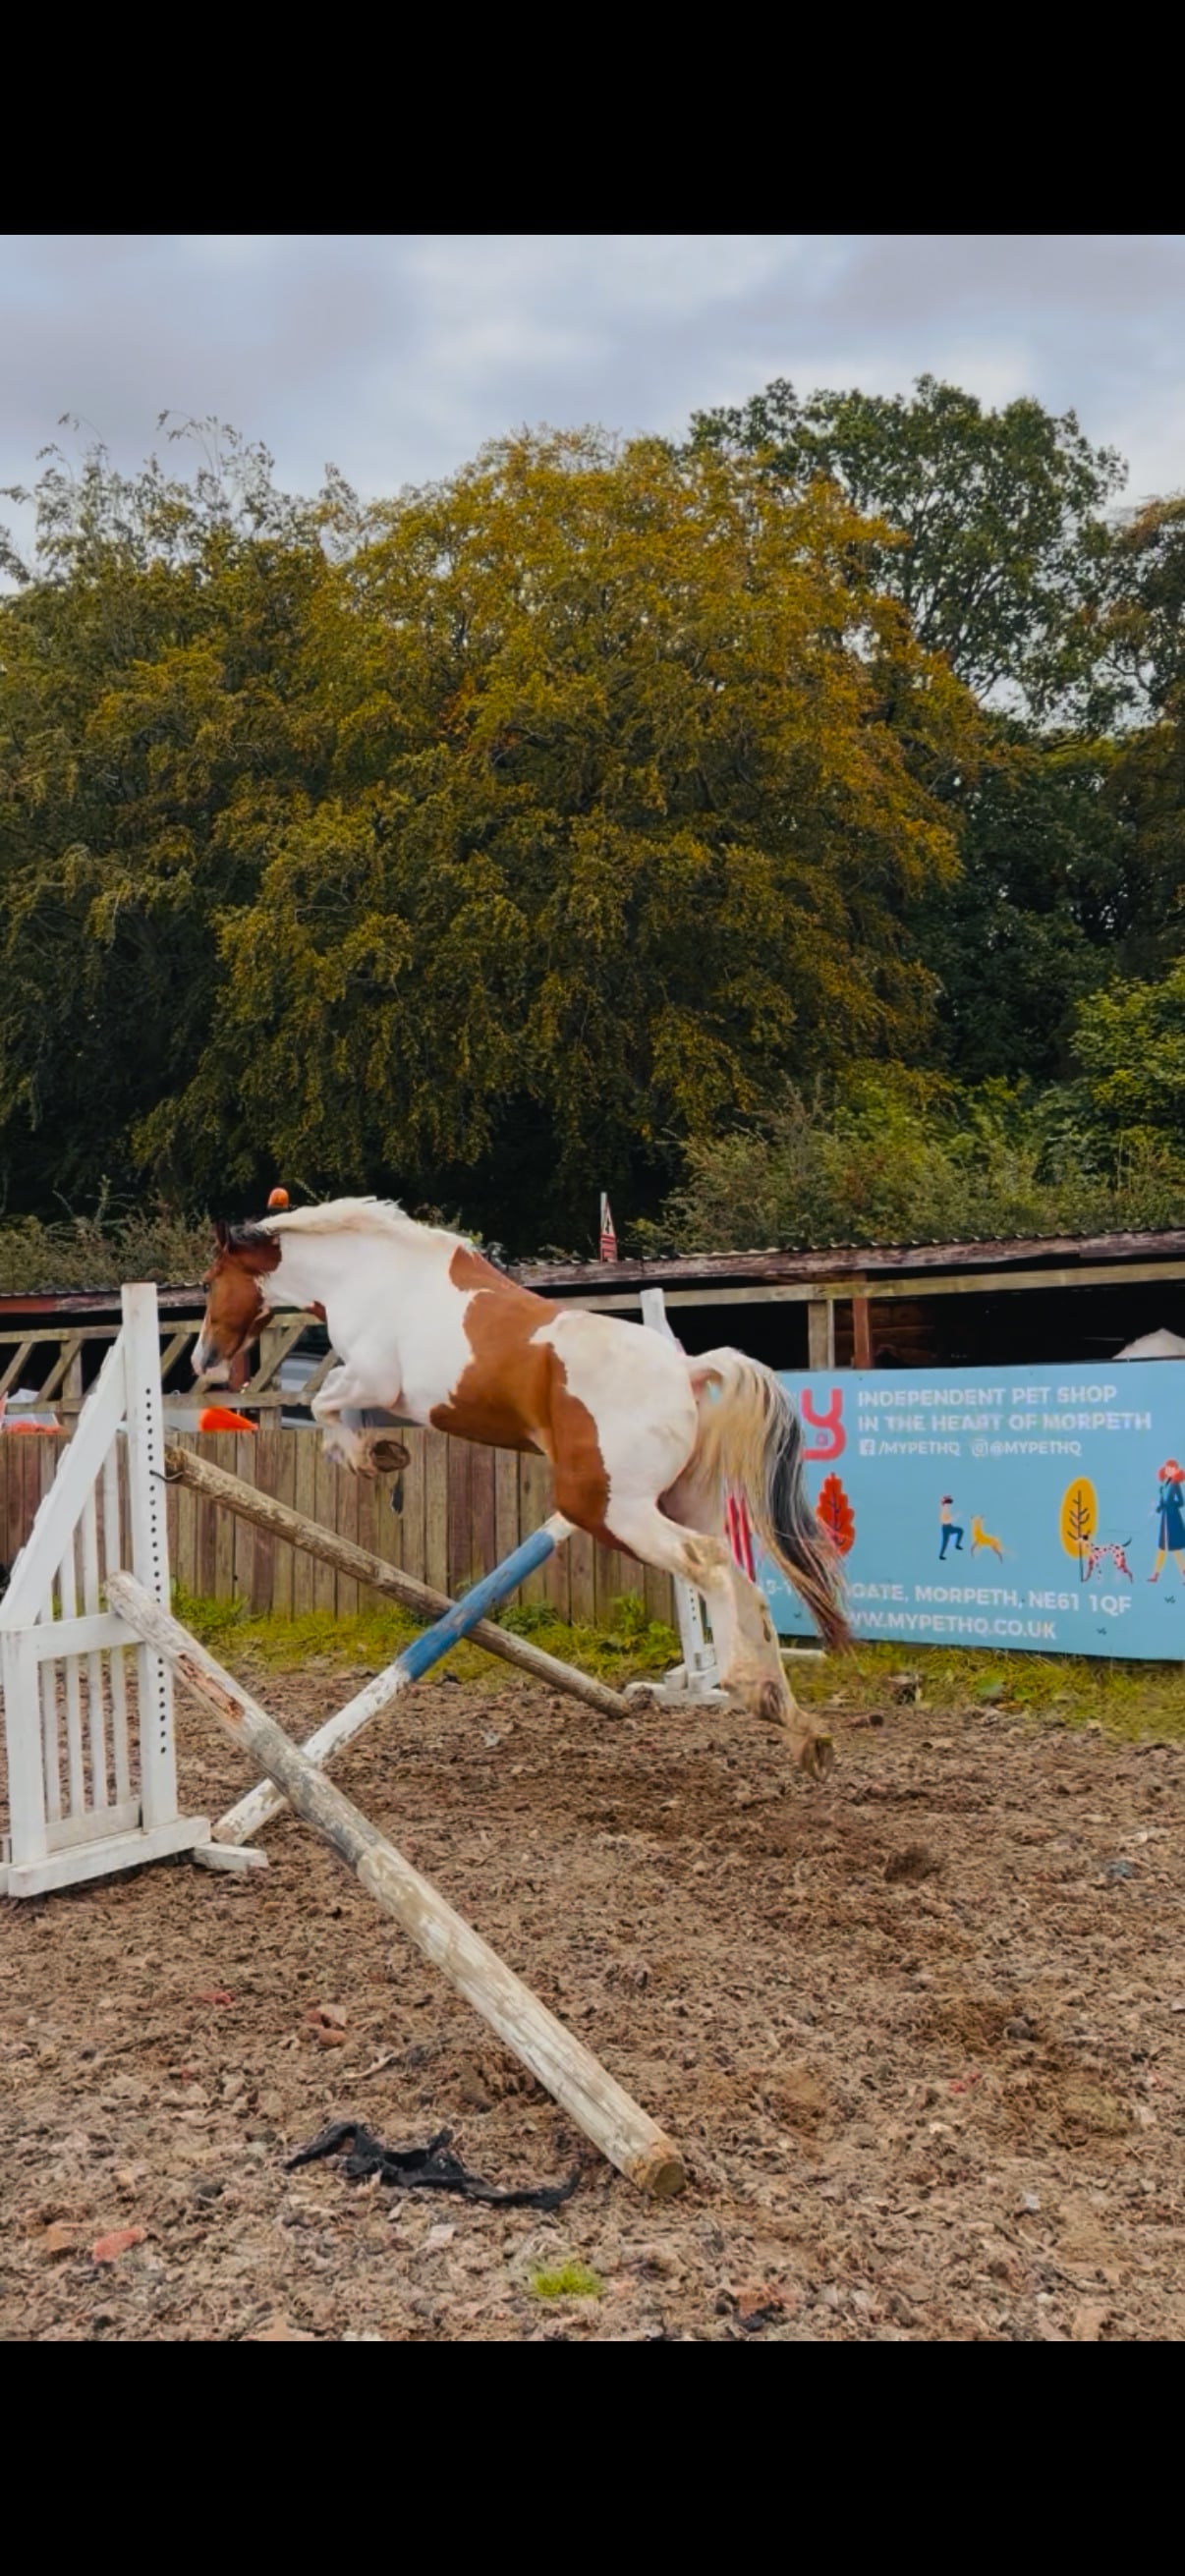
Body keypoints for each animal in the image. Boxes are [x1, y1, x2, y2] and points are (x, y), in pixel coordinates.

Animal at [193, 1200, 848, 1773]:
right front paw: (380, 1454)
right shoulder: (376, 1390)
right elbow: (336, 1412)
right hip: (684, 1502)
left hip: (609, 1510)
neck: (367, 1272)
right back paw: (795, 1722)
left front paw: (366, 1457)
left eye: (208, 1281)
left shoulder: (374, 1380)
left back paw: (752, 1692)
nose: (203, 1360)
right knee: (741, 1580)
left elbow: (324, 1405)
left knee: (708, 1564)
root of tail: (686, 1370)